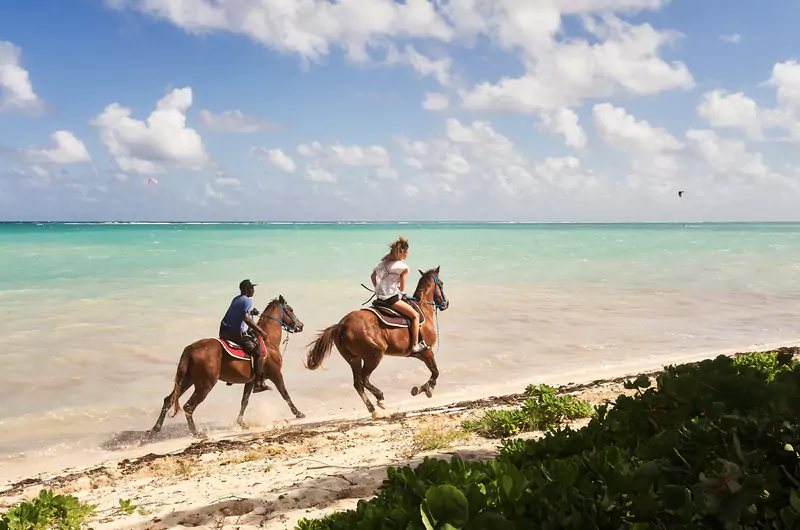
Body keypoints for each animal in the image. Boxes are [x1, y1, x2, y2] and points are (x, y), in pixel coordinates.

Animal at [147, 292, 306, 438]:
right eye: (290, 309)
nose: (300, 325)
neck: (268, 341)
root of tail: (191, 348)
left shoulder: (251, 381)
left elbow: (244, 401)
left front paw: (242, 423)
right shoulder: (276, 373)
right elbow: (285, 394)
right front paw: (298, 413)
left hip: (187, 380)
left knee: (168, 400)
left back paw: (155, 429)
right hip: (205, 384)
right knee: (188, 407)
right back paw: (196, 433)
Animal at [304, 268, 446, 416]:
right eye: (441, 283)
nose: (446, 303)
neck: (422, 308)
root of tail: (342, 325)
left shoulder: (418, 354)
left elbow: (434, 372)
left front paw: (426, 388)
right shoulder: (427, 351)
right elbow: (435, 372)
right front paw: (425, 388)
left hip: (353, 359)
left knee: (357, 383)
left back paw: (372, 409)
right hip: (374, 356)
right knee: (363, 379)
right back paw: (380, 398)